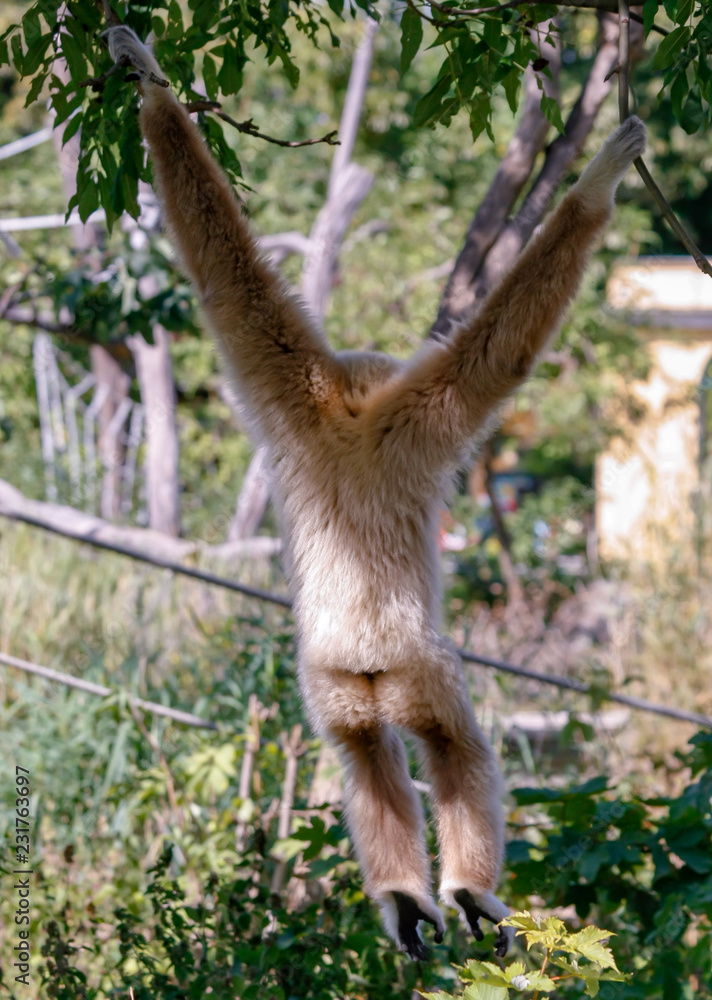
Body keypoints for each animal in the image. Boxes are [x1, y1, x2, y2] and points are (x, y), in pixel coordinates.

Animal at [103, 24, 646, 961]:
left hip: (329, 680)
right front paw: (600, 178)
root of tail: (364, 654)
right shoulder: (422, 416)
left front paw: (145, 77)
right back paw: (466, 891)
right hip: (421, 666)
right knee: (456, 745)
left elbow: (226, 281)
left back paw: (403, 897)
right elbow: (499, 350)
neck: (351, 423)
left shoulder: (292, 402)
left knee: (363, 756)